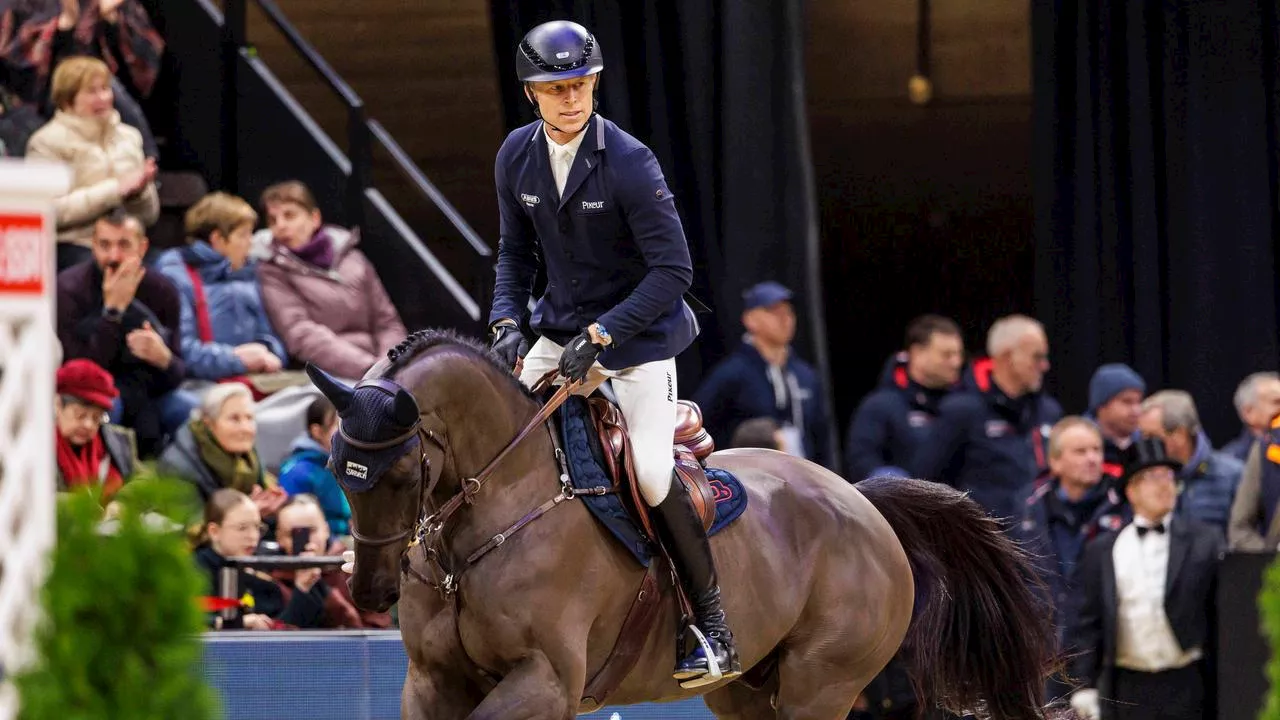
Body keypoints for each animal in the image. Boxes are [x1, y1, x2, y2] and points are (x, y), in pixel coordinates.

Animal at [304, 330, 1054, 717]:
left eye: (402, 476)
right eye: (339, 469)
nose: (370, 591)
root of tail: (863, 502)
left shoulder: (544, 681)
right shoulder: (431, 683)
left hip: (821, 685)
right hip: (747, 693)